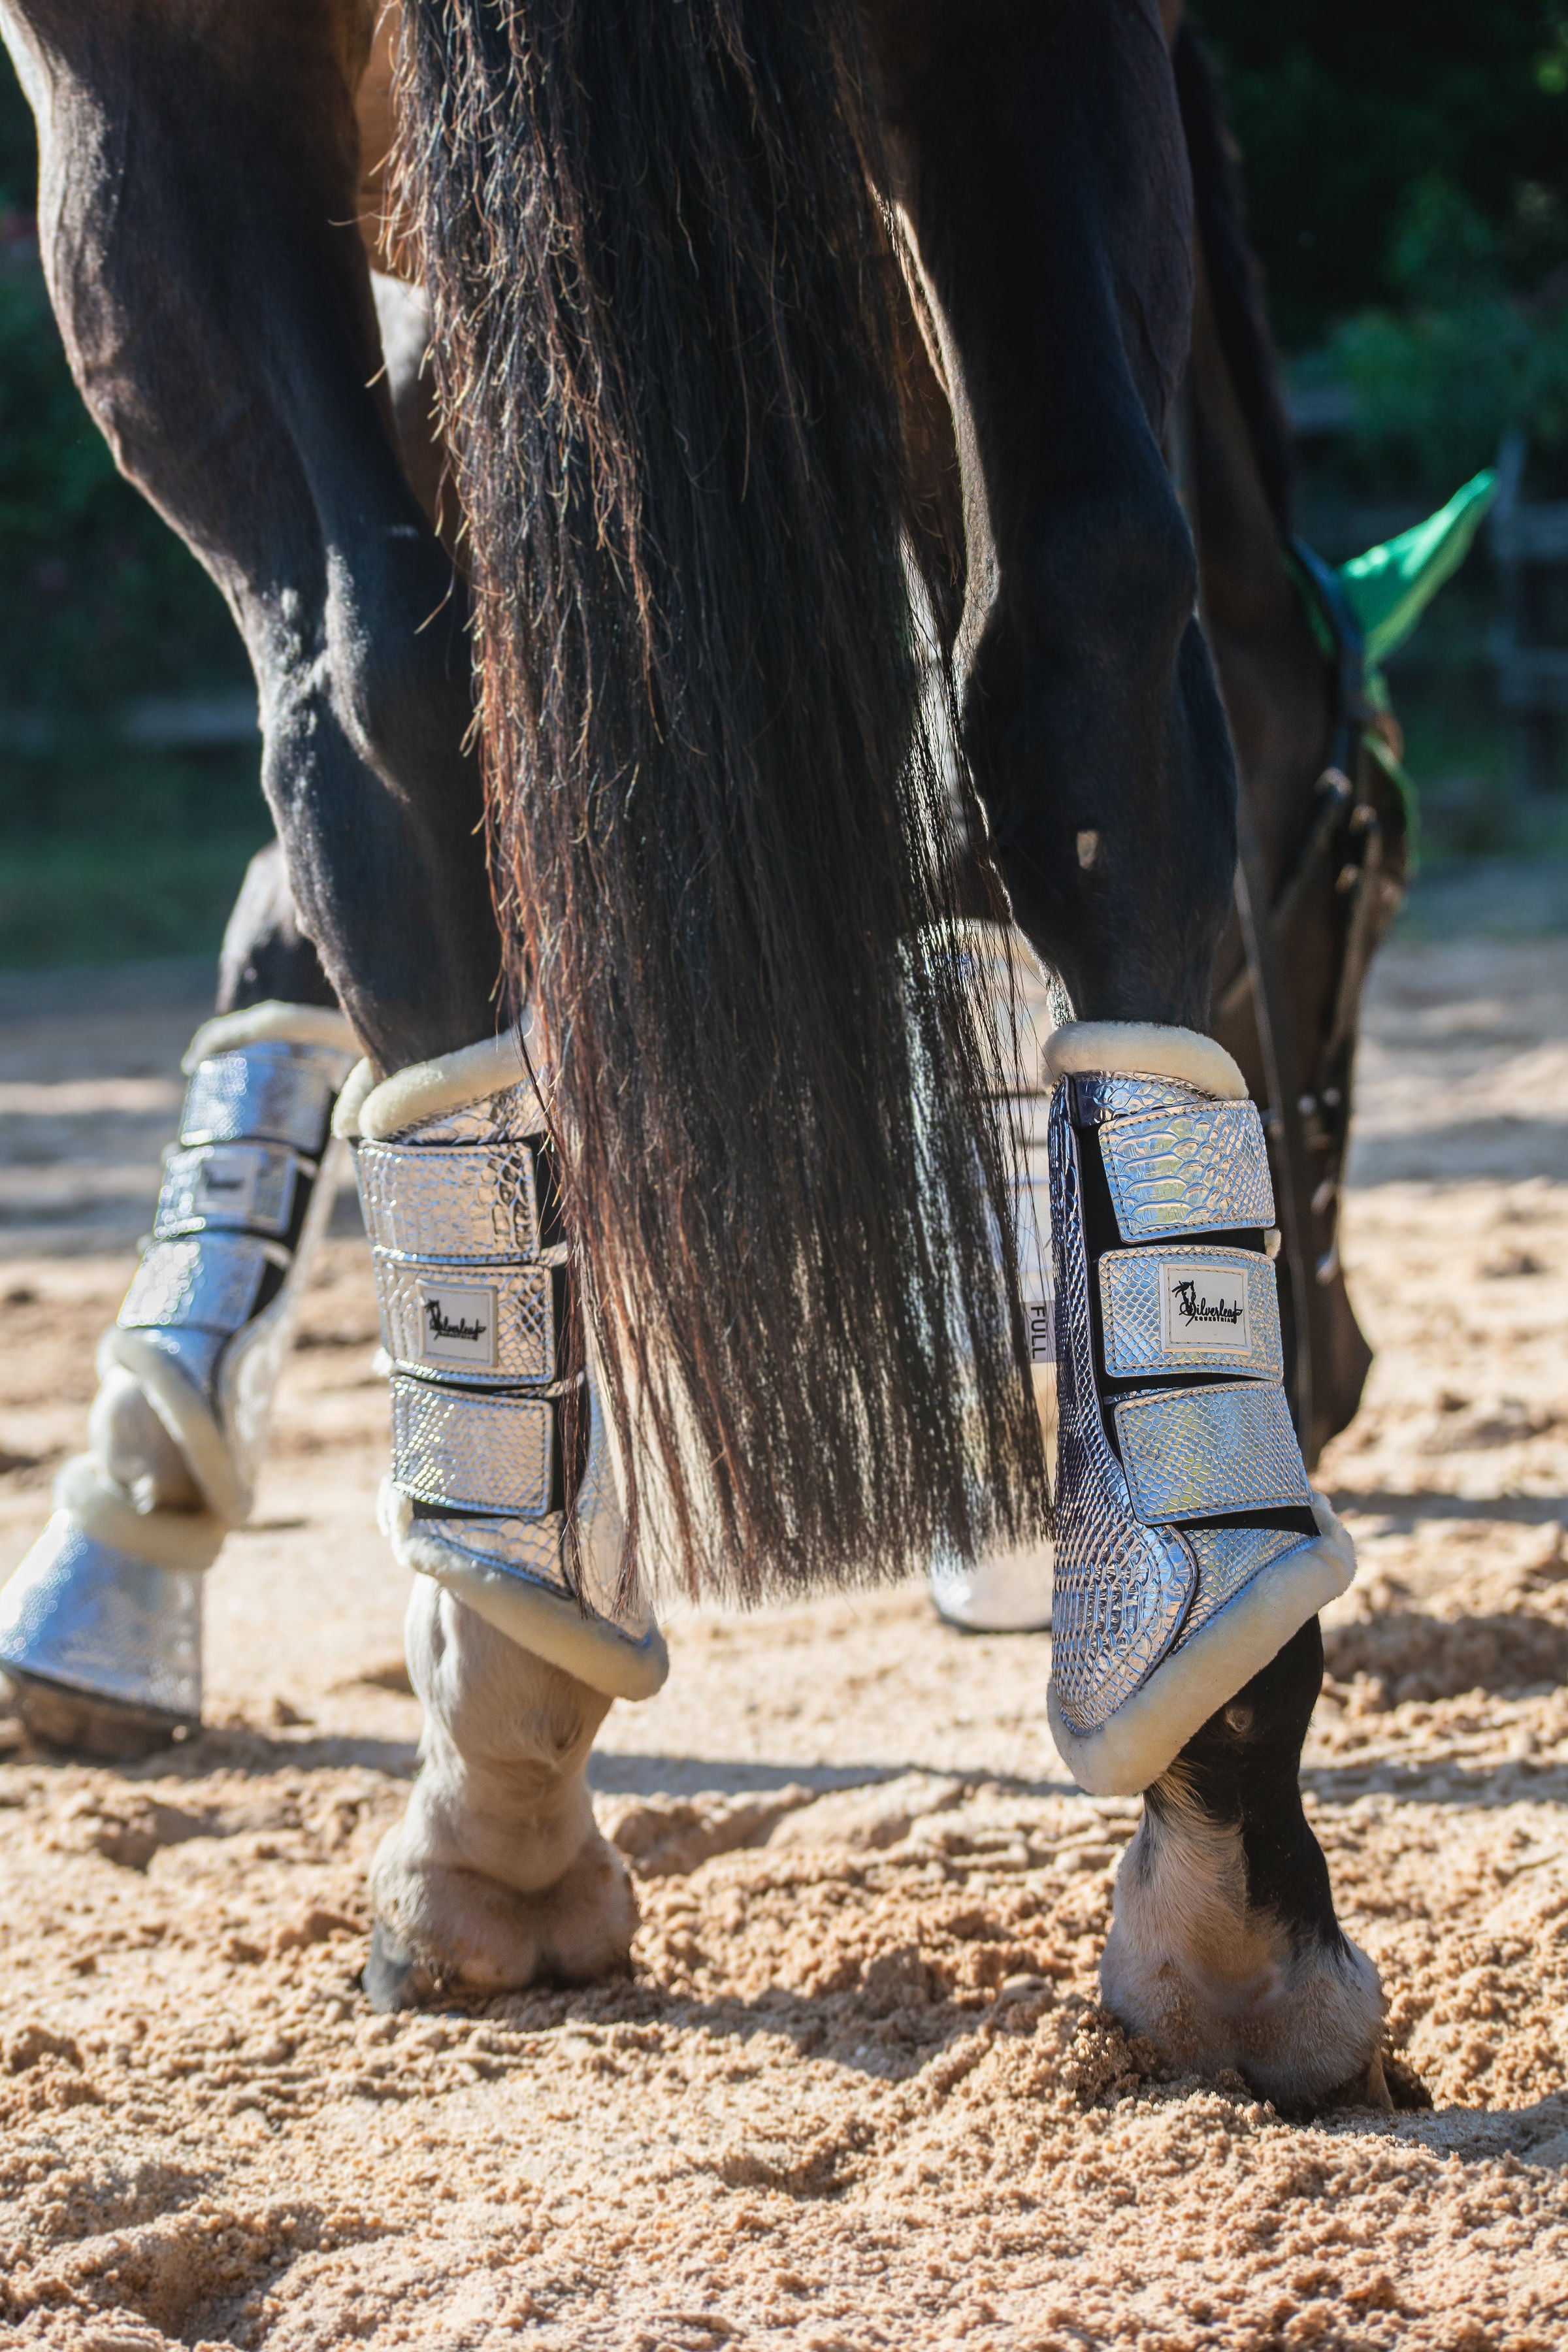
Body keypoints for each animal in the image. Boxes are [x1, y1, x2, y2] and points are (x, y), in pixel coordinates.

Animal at [0, 0, 1401, 2098]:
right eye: (1359, 884)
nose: (1339, 1355)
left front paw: (136, 1522)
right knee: (1082, 608)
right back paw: (1227, 1842)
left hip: (166, 108)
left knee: (367, 677)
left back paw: (497, 1772)